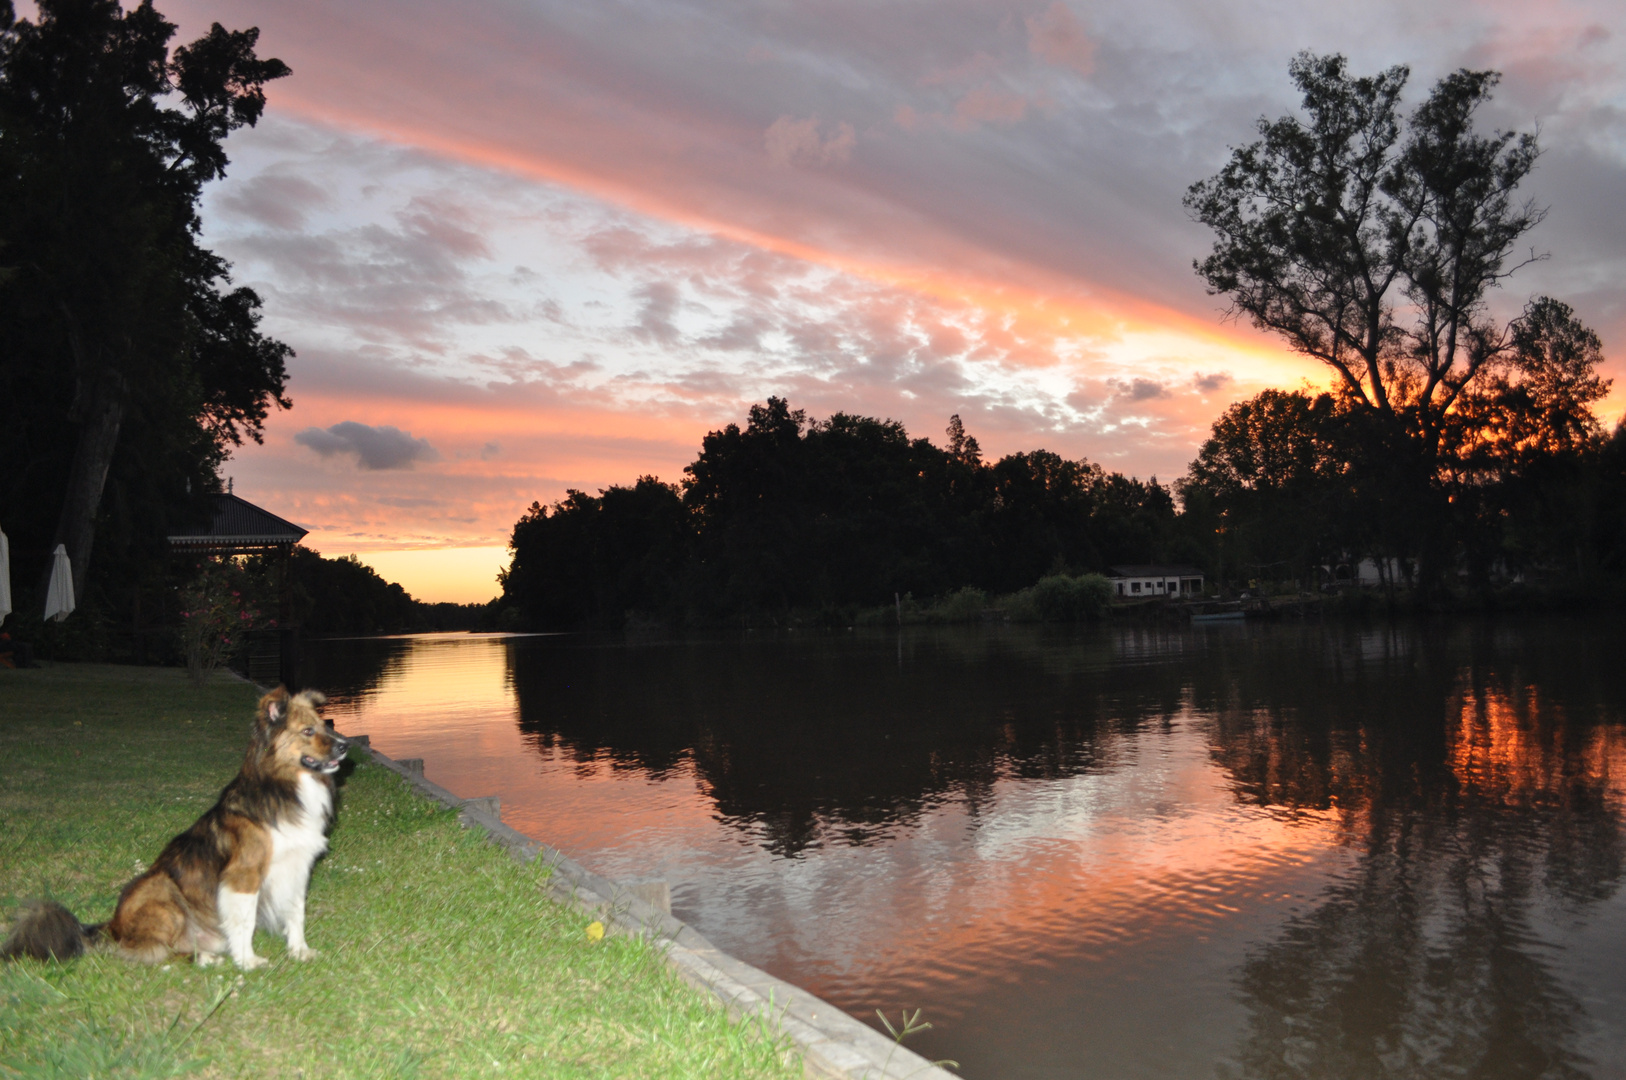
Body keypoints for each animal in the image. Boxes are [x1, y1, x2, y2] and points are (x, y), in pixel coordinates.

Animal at [1, 692, 346, 969]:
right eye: (308, 731)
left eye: (324, 725)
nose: (344, 746)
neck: (282, 788)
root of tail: (111, 928)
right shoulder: (244, 875)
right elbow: (245, 922)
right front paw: (247, 960)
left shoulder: (297, 868)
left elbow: (296, 913)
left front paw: (300, 951)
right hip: (163, 892)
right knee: (155, 950)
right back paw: (204, 958)